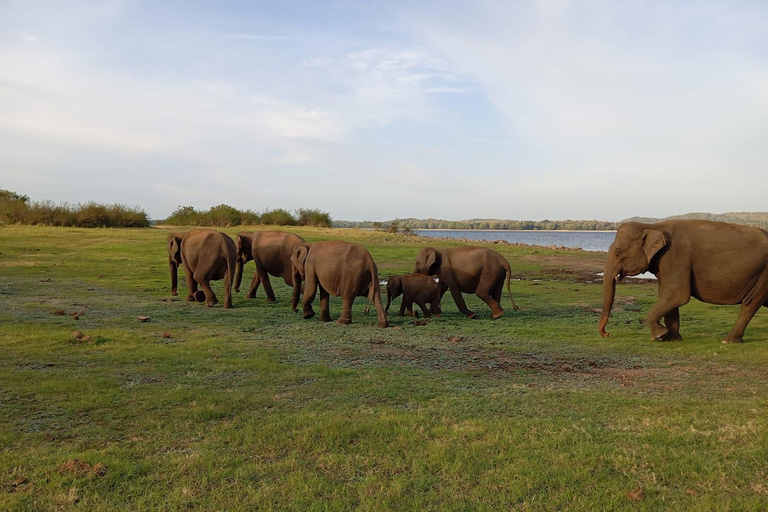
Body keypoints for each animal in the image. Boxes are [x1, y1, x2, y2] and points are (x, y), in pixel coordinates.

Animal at [600, 220, 768, 344]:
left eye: (618, 252)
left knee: (750, 304)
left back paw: (728, 341)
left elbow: (677, 294)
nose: (607, 334)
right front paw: (672, 339)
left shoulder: (675, 255)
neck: (654, 226)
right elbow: (668, 295)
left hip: (762, 275)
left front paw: (659, 336)